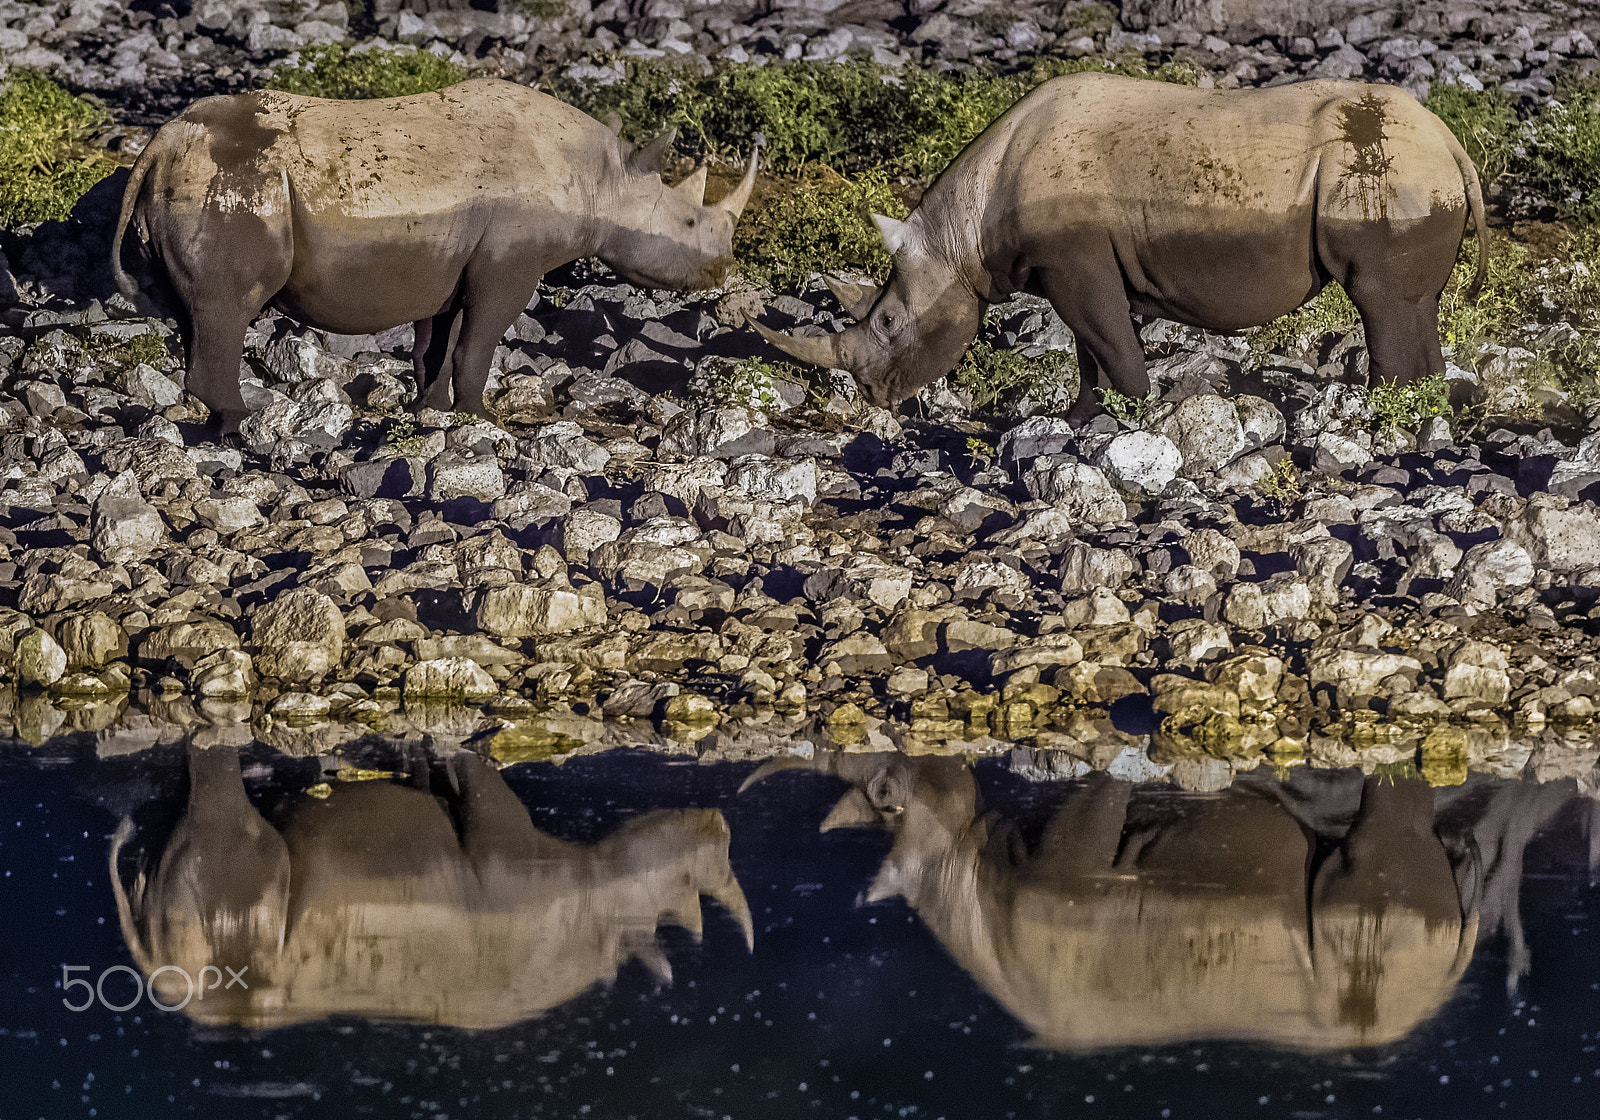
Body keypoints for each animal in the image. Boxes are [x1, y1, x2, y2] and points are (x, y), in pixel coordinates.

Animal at [109, 745, 753, 1029]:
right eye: (685, 878)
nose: (718, 823)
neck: (607, 900)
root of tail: (161, 967)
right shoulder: (499, 851)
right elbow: (474, 769)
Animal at [112, 79, 758, 435]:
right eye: (691, 223)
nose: (723, 270)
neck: (602, 178)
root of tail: (161, 143)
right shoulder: (510, 264)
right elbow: (480, 341)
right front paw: (483, 419)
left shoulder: (444, 263)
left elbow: (435, 345)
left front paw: (431, 410)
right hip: (235, 182)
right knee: (229, 306)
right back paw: (243, 430)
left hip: (200, 177)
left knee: (194, 313)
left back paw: (215, 425)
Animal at [751, 74, 1486, 421]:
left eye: (887, 323)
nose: (874, 396)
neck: (959, 235)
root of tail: (1452, 142)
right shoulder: (1072, 265)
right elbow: (1088, 349)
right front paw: (1076, 417)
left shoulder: (1073, 260)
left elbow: (1107, 341)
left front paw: (1135, 414)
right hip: (1406, 171)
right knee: (1411, 305)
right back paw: (1420, 409)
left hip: (1386, 173)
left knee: (1379, 298)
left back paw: (1375, 414)